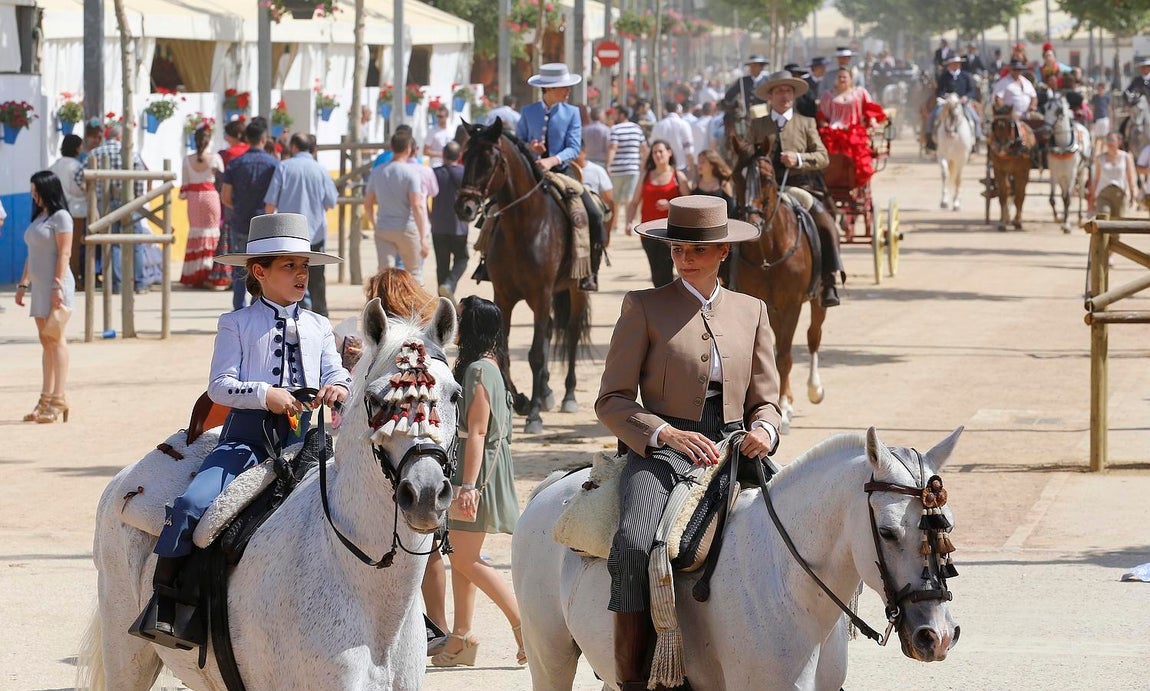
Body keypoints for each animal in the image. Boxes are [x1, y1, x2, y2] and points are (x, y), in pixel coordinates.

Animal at [455, 118, 592, 434]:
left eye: (489, 160)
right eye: (465, 157)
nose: (464, 207)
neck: (524, 226)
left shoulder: (541, 295)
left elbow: (536, 354)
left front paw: (534, 415)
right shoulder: (504, 297)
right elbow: (502, 349)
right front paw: (520, 400)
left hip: (574, 290)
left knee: (571, 334)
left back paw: (567, 395)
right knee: (553, 329)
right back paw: (545, 392)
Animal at [512, 427, 964, 690]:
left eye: (947, 529)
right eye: (887, 531)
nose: (937, 636)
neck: (788, 586)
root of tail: (553, 487)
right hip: (549, 656)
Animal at [721, 103, 827, 433]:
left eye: (767, 178)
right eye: (735, 177)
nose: (751, 223)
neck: (768, 251)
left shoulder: (791, 304)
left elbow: (783, 356)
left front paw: (784, 407)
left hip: (818, 299)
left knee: (814, 336)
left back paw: (814, 389)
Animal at [1043, 93, 1093, 232]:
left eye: (1058, 111)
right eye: (1045, 108)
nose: (1045, 130)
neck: (1062, 147)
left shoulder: (1071, 174)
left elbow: (1067, 199)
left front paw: (1066, 225)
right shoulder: (1054, 174)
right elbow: (1052, 198)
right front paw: (1058, 218)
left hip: (1081, 172)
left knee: (1080, 193)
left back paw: (1080, 217)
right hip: (1062, 177)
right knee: (1062, 193)